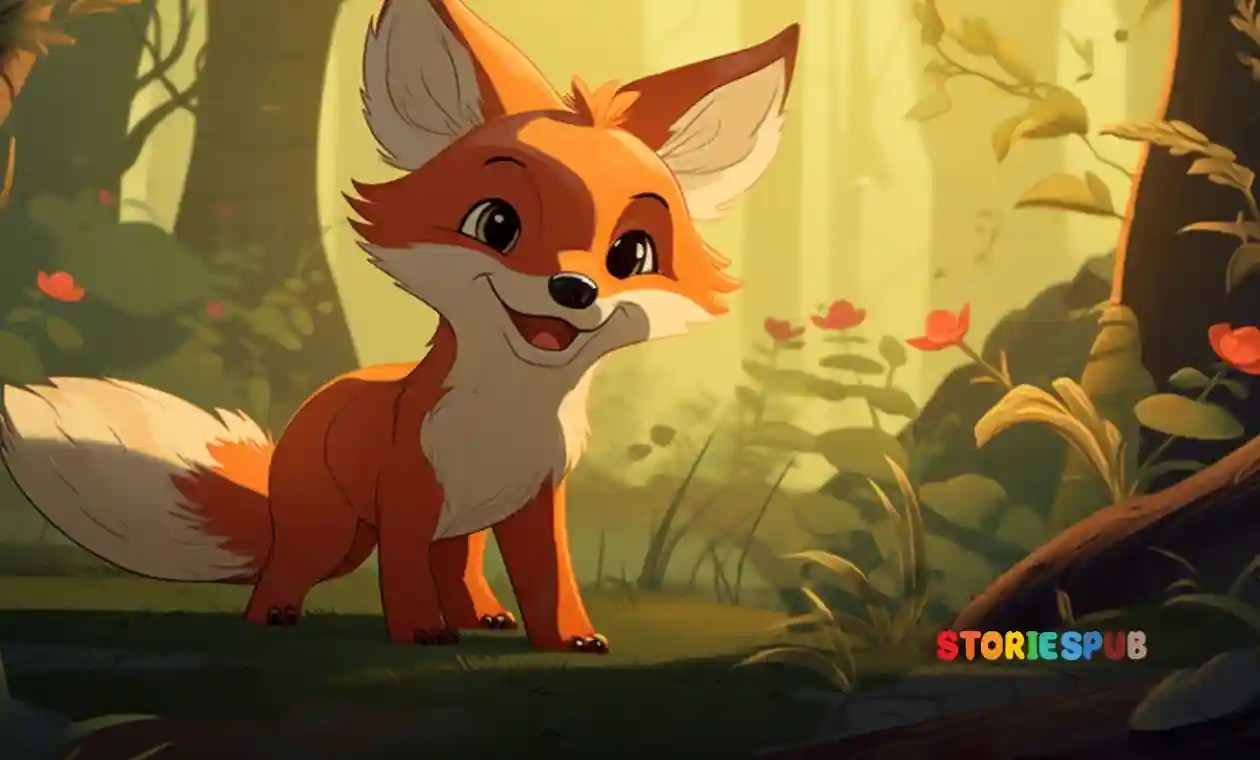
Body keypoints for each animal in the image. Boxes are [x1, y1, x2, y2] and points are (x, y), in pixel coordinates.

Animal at [0, 0, 799, 651]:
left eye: (631, 254)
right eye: (497, 224)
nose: (572, 289)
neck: (504, 420)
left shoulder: (537, 501)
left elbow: (549, 581)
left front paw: (569, 637)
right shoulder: (410, 496)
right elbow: (408, 575)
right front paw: (419, 632)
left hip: (459, 529)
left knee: (461, 568)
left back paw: (482, 616)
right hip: (333, 531)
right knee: (287, 567)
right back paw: (278, 615)